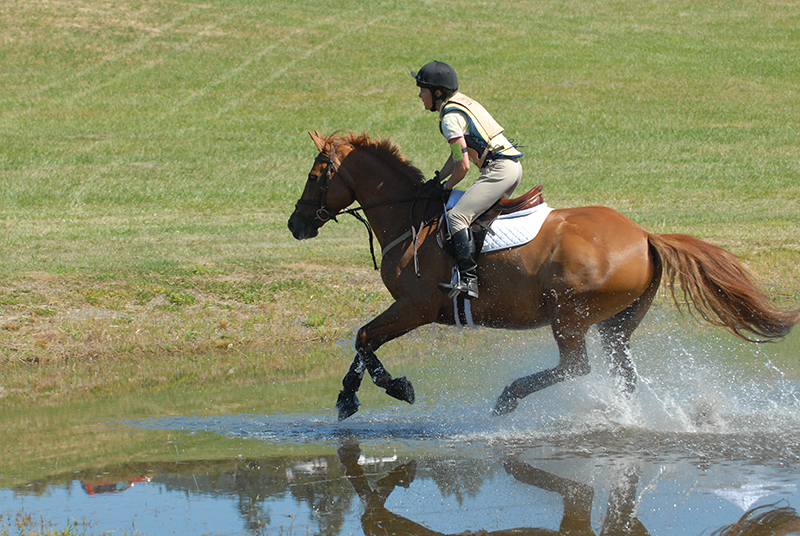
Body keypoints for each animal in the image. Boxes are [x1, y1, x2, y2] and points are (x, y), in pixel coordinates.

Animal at [287, 131, 800, 421]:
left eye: (315, 175)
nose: (296, 224)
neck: (409, 218)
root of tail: (644, 236)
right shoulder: (411, 309)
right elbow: (364, 340)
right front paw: (349, 397)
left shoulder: (416, 307)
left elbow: (364, 338)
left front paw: (386, 390)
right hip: (617, 324)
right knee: (621, 371)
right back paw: (626, 415)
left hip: (568, 315)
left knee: (576, 366)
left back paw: (510, 398)